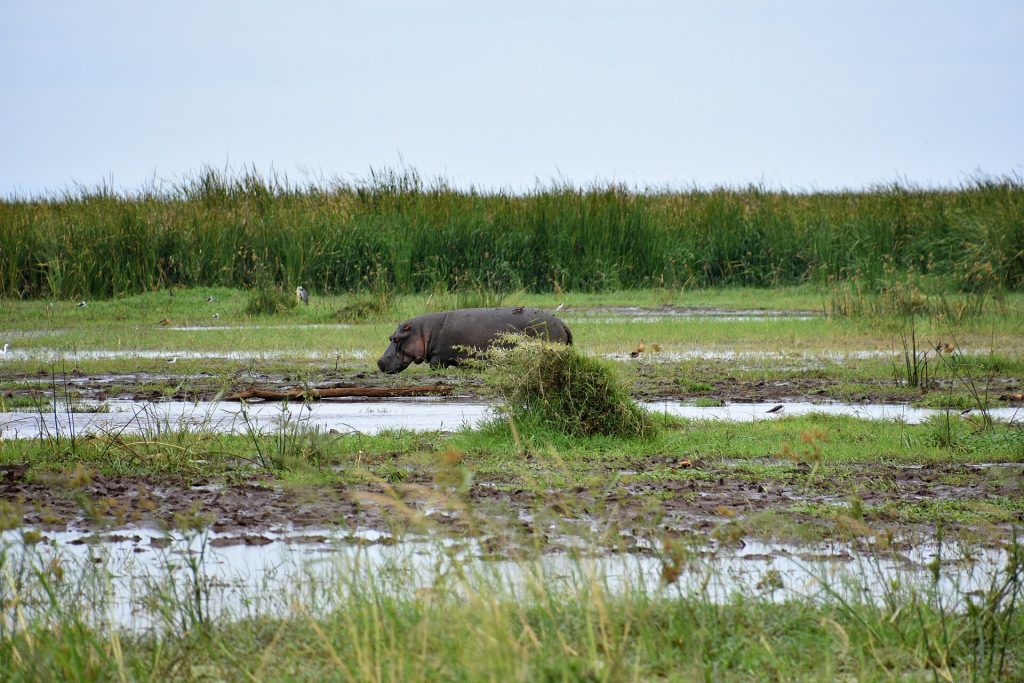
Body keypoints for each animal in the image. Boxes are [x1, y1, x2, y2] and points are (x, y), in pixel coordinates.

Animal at [377, 307, 573, 374]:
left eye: (396, 338)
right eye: (389, 337)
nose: (379, 362)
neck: (424, 331)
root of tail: (562, 322)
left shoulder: (438, 358)